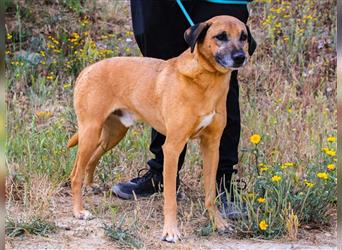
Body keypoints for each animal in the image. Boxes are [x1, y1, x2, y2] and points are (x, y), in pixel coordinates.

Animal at [67, 15, 254, 242]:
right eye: (220, 36)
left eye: (243, 37)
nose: (240, 57)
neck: (206, 81)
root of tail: (87, 69)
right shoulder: (172, 148)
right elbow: (170, 198)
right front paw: (170, 231)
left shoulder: (212, 146)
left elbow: (210, 193)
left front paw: (218, 223)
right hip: (91, 132)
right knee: (75, 173)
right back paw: (78, 211)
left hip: (112, 135)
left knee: (91, 160)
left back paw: (90, 185)